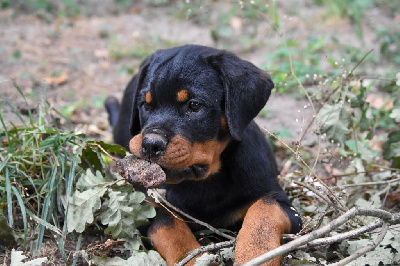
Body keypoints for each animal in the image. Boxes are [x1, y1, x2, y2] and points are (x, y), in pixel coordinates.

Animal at [104, 44, 302, 264]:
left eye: (194, 105)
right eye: (146, 105)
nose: (150, 144)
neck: (205, 180)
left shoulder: (283, 203)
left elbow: (265, 210)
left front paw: (256, 255)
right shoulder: (148, 206)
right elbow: (170, 229)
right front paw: (194, 259)